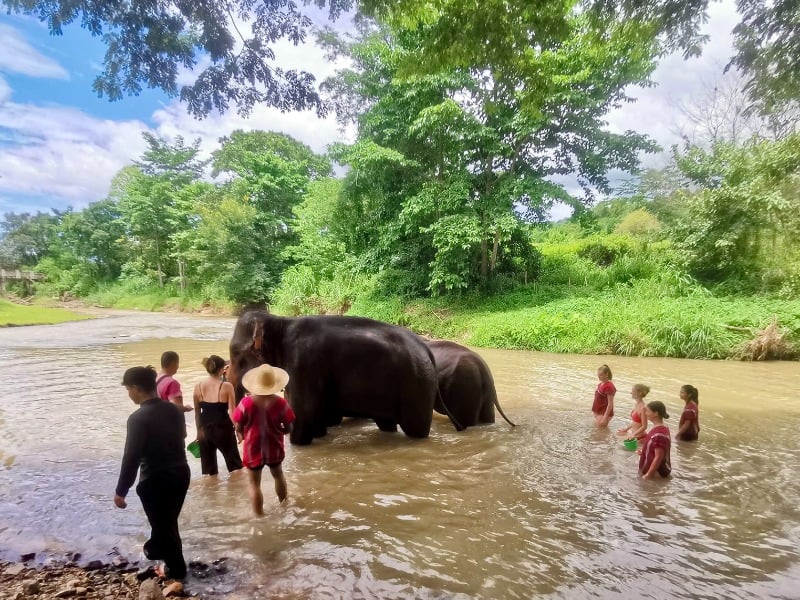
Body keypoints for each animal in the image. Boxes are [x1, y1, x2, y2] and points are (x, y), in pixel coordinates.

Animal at [228, 310, 464, 445]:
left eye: (236, 354)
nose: (239, 438)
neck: (281, 323)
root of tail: (428, 351)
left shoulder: (302, 363)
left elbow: (303, 413)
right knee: (387, 423)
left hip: (417, 386)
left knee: (416, 429)